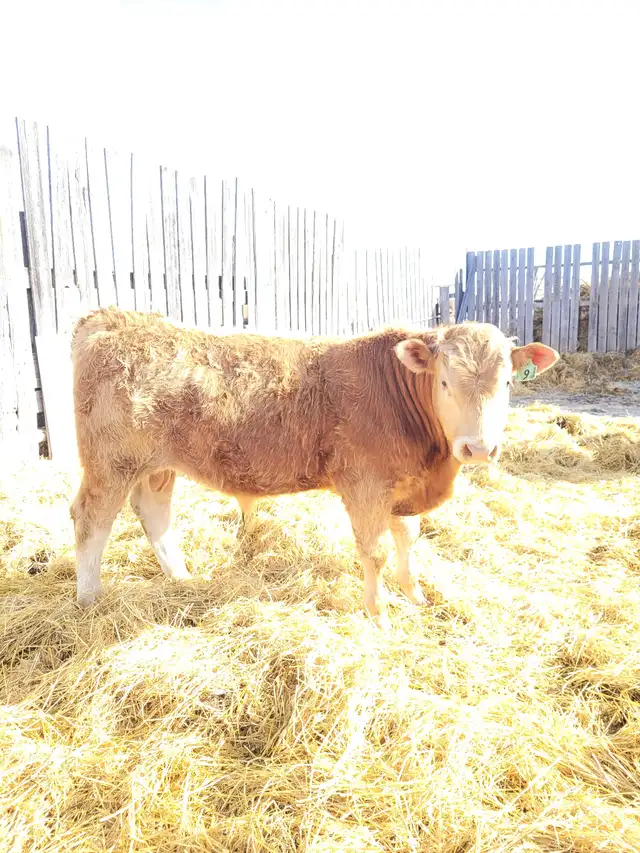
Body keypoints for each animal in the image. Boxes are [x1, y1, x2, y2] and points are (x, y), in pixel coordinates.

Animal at [70, 307, 558, 629]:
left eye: (508, 382)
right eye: (443, 381)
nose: (478, 448)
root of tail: (112, 316)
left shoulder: (401, 487)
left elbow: (408, 538)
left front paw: (415, 595)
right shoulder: (365, 486)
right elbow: (375, 551)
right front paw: (380, 616)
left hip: (157, 466)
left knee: (155, 514)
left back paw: (183, 579)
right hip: (111, 463)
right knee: (90, 520)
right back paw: (89, 599)